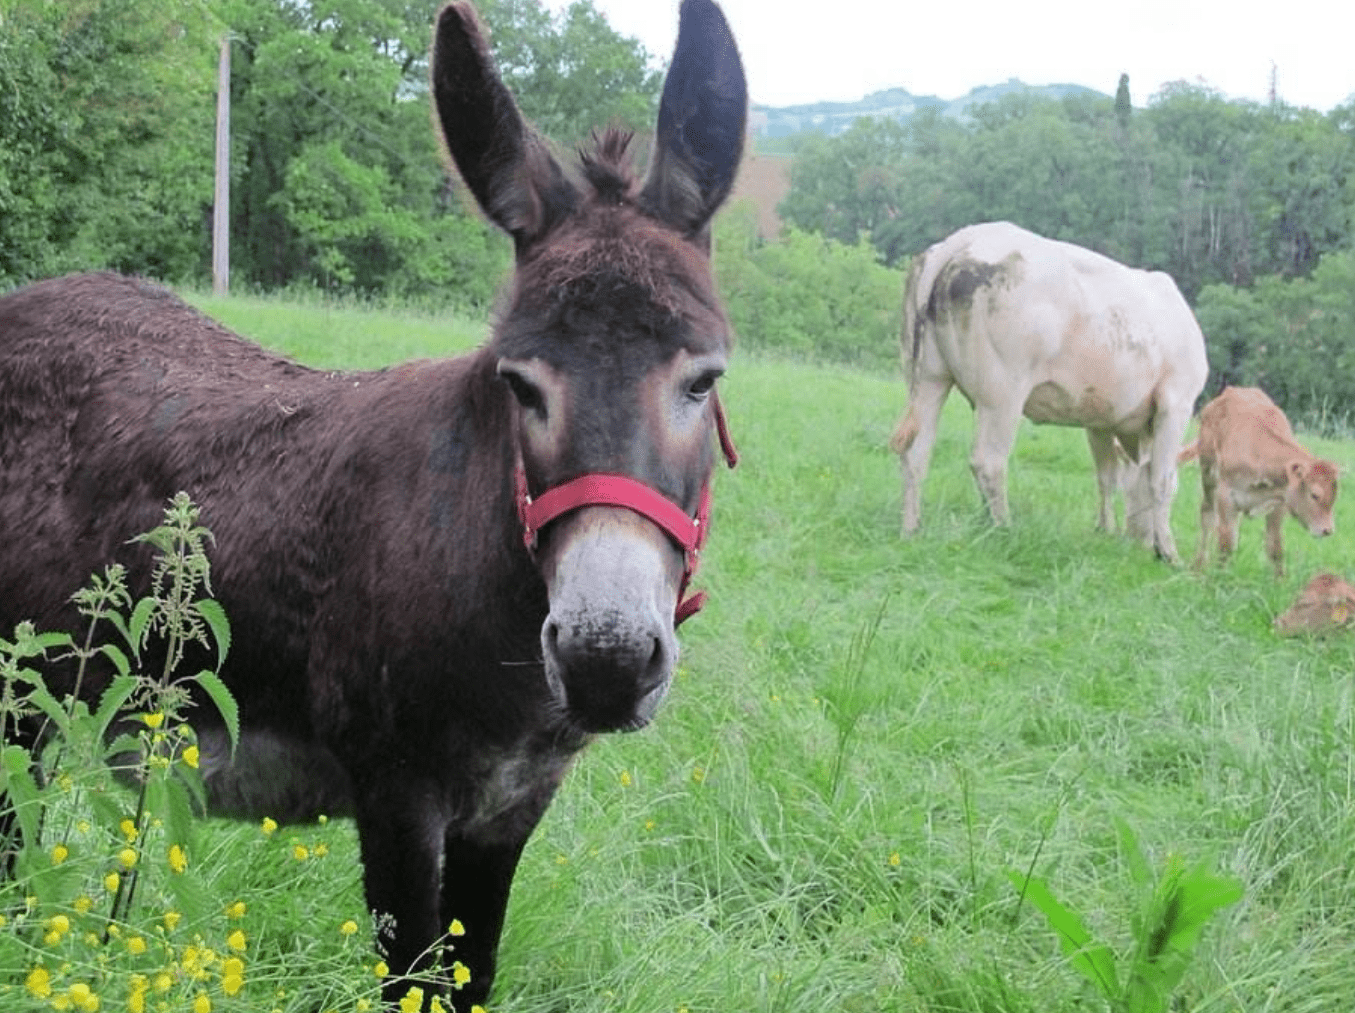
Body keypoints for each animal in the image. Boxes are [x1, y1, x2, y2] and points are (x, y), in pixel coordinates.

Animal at [888, 220, 1208, 560]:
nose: (1138, 540)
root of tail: (966, 239)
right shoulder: (1177, 402)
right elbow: (1162, 480)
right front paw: (1170, 553)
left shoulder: (1100, 416)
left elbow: (1107, 477)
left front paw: (1105, 530)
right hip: (1002, 393)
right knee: (988, 462)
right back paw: (1002, 528)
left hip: (929, 378)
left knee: (916, 454)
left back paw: (912, 529)